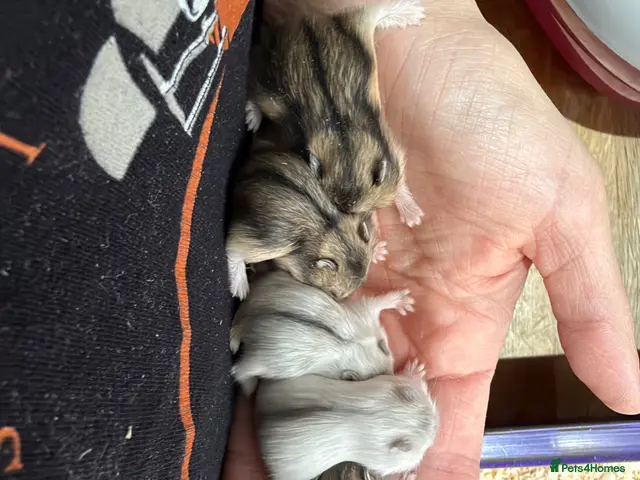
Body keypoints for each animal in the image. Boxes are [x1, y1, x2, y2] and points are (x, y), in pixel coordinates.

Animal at [226, 150, 385, 300]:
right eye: (334, 294)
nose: (343, 299)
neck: (334, 232)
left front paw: (381, 252)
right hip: (272, 244)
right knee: (234, 250)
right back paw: (241, 291)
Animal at [229, 270, 414, 395]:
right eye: (377, 377)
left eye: (385, 347)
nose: (392, 373)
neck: (352, 345)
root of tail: (246, 318)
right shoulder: (363, 314)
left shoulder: (364, 315)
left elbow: (378, 302)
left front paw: (405, 302)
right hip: (259, 361)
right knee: (239, 371)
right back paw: (250, 389)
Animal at [245, 0, 425, 226]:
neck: (344, 144)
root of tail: (302, 20)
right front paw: (415, 220)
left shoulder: (393, 152)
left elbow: (400, 185)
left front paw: (415, 220)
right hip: (269, 91)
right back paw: (251, 121)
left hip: (355, 27)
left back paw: (416, 13)